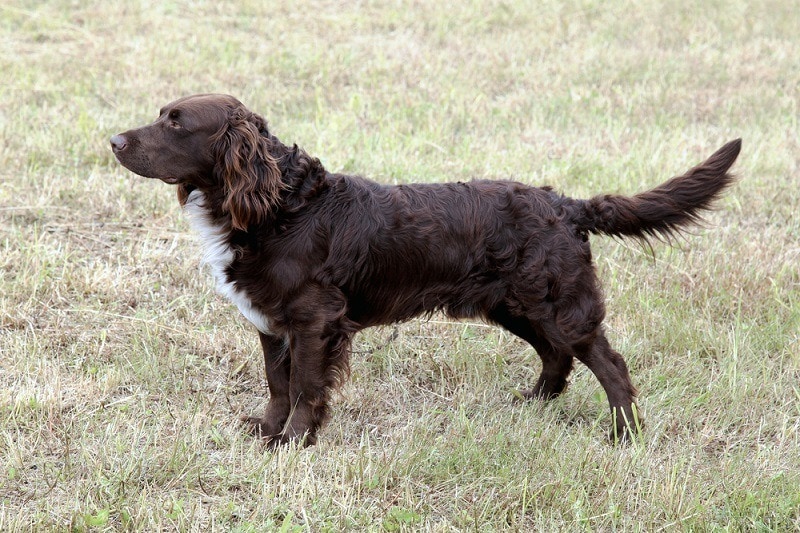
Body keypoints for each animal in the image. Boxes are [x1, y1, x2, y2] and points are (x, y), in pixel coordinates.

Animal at [109, 94, 740, 444]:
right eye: (161, 115)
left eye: (177, 123)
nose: (113, 139)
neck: (280, 206)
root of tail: (563, 204)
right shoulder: (271, 322)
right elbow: (277, 384)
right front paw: (267, 430)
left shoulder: (315, 321)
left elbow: (307, 387)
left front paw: (293, 443)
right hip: (515, 305)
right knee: (557, 357)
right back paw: (532, 403)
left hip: (557, 303)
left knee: (610, 365)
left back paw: (624, 435)